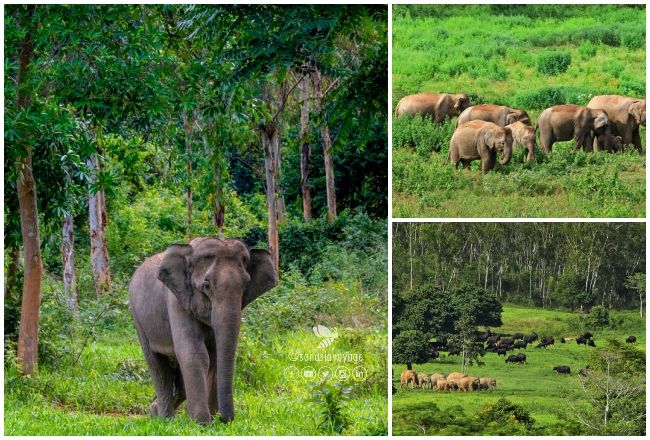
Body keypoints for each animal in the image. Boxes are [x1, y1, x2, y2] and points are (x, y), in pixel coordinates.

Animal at [128, 239, 276, 424]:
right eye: (206, 285)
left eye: (245, 285)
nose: (223, 419)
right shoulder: (176, 301)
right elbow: (195, 354)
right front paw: (203, 422)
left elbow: (215, 356)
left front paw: (211, 417)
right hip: (138, 318)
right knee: (157, 365)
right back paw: (164, 418)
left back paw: (154, 411)